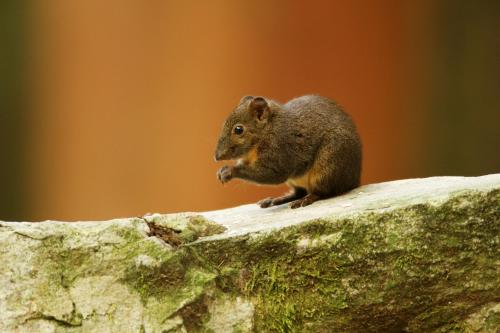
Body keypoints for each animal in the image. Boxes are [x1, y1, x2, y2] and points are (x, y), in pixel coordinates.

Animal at [213, 94, 362, 208]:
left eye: (238, 130)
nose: (217, 157)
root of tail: (353, 181)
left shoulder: (279, 153)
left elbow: (271, 174)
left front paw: (230, 171)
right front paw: (222, 171)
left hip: (328, 166)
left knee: (324, 192)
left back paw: (306, 199)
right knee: (299, 192)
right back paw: (277, 200)